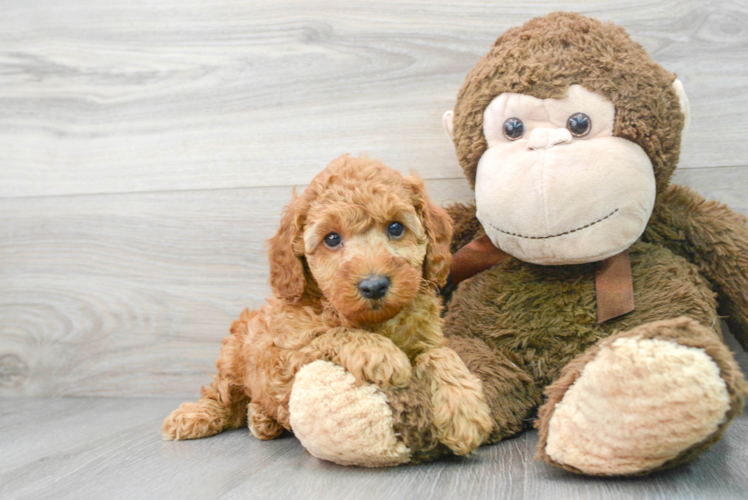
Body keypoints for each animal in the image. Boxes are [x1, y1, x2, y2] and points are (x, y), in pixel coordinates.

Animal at [161, 155, 494, 458]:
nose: (374, 285)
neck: (375, 321)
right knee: (222, 397)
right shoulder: (284, 356)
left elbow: (441, 355)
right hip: (233, 356)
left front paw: (464, 412)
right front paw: (381, 354)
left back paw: (262, 419)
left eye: (396, 228)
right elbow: (331, 334)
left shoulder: (428, 337)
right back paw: (193, 418)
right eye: (332, 238)